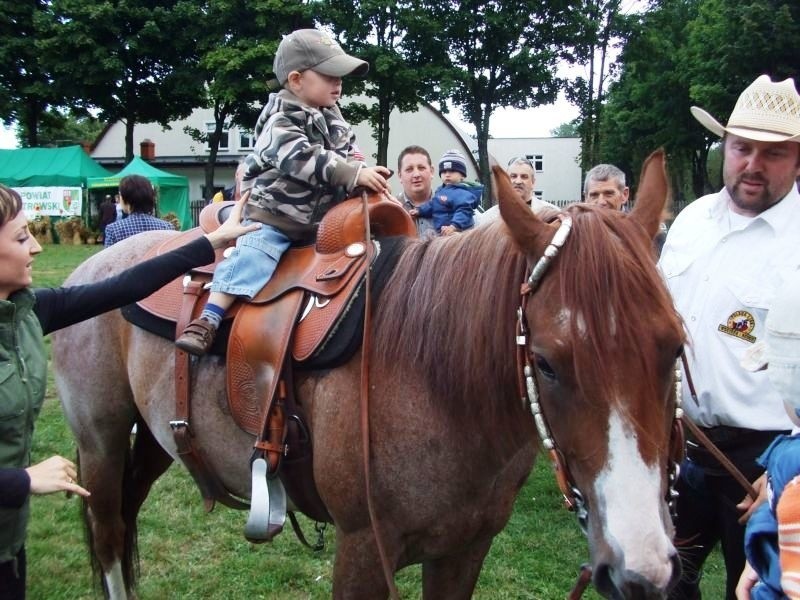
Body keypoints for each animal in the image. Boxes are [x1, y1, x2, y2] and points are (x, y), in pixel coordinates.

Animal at [51, 152, 688, 596]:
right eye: (547, 363)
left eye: (675, 348)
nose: (642, 567)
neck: (432, 383)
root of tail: (94, 266)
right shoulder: (362, 551)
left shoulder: (464, 551)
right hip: (101, 440)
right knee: (109, 536)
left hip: (153, 439)